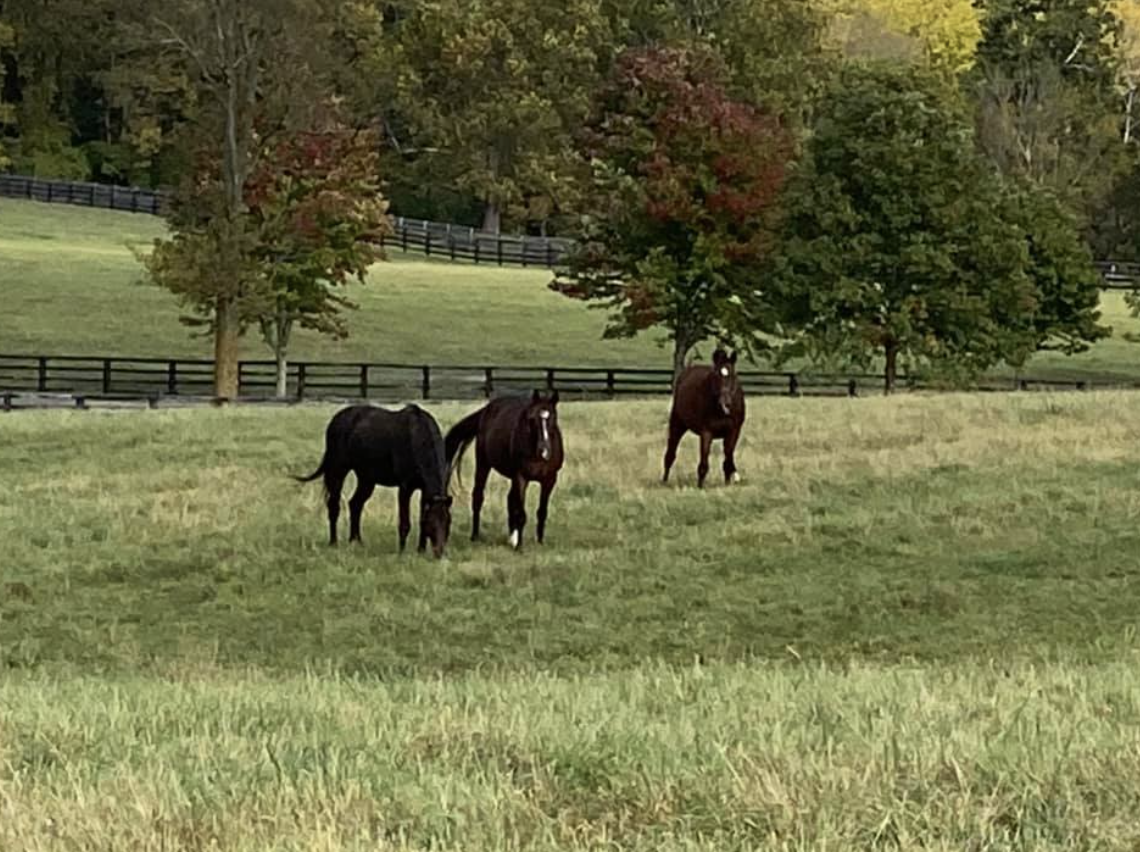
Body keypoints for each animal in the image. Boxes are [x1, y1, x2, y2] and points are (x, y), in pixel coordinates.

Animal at [296, 403, 451, 556]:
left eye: (448, 523)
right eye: (432, 525)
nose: (439, 553)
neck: (418, 437)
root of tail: (336, 419)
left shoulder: (425, 490)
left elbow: (421, 520)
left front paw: (421, 551)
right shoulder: (405, 488)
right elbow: (405, 523)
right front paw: (401, 552)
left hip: (366, 478)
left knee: (355, 504)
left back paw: (356, 541)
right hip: (338, 470)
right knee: (334, 505)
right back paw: (334, 543)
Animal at [446, 392, 567, 549]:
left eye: (553, 418)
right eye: (532, 419)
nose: (544, 451)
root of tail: (485, 410)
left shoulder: (549, 479)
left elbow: (542, 511)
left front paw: (539, 542)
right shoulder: (521, 477)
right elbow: (521, 513)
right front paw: (520, 546)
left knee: (510, 500)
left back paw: (511, 538)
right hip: (483, 463)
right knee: (478, 496)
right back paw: (475, 536)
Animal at [661, 349, 747, 490]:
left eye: (733, 375)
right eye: (716, 376)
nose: (726, 403)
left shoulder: (734, 431)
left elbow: (728, 456)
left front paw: (729, 481)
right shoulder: (706, 432)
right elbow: (704, 461)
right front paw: (700, 486)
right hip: (677, 424)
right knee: (670, 453)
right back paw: (664, 480)